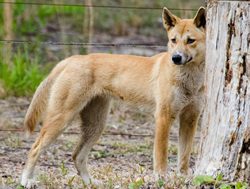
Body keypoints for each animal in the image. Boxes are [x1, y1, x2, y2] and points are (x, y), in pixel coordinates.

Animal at [21, 7, 205, 188]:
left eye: (190, 40)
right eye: (173, 40)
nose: (176, 58)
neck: (189, 78)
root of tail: (72, 59)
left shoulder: (190, 118)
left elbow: (184, 156)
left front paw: (184, 178)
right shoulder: (164, 117)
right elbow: (161, 158)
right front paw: (161, 179)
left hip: (96, 125)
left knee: (77, 155)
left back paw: (90, 182)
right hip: (62, 119)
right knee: (35, 149)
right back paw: (25, 180)